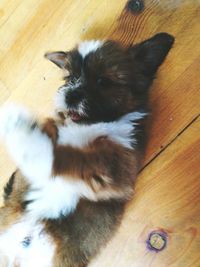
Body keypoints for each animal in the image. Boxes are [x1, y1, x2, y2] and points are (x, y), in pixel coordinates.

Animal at [0, 33, 173, 267]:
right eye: (70, 78)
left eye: (103, 81)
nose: (71, 95)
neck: (89, 125)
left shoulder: (114, 165)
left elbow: (72, 159)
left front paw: (23, 129)